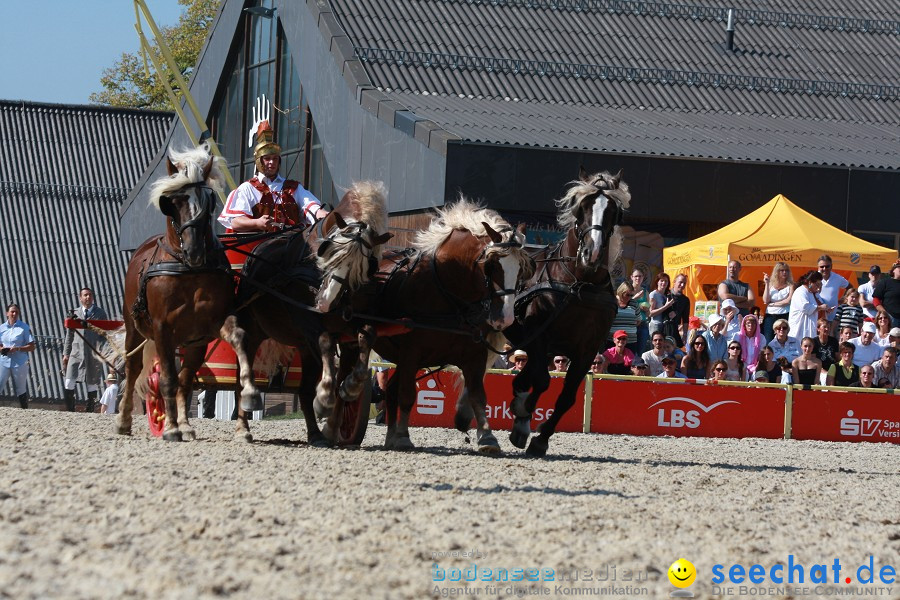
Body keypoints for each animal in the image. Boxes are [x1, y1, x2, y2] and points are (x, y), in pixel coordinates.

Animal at [117, 143, 260, 438]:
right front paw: (170, 427)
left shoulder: (212, 323)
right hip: (135, 327)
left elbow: (239, 338)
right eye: (172, 202)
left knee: (186, 377)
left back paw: (184, 423)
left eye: (208, 201)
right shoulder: (162, 328)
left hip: (194, 343)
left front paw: (251, 393)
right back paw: (126, 421)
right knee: (135, 368)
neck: (188, 270)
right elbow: (167, 379)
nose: (194, 251)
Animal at [229, 180, 390, 442]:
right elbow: (326, 342)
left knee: (304, 390)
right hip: (253, 329)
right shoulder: (306, 318)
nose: (325, 302)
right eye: (329, 252)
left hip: (303, 346)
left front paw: (350, 388)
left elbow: (366, 337)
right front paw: (325, 398)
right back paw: (244, 424)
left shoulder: (348, 328)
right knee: (242, 372)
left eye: (364, 266)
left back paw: (316, 433)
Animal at [502, 166, 628, 458]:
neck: (579, 284)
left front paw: (540, 437)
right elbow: (542, 380)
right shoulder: (538, 337)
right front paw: (523, 417)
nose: (592, 253)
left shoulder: (587, 350)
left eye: (614, 211)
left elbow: (567, 396)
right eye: (581, 207)